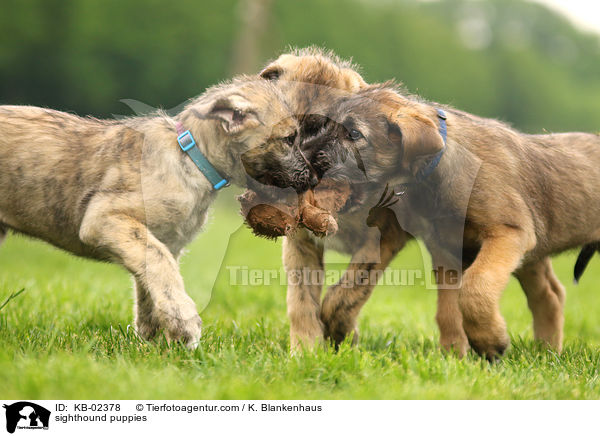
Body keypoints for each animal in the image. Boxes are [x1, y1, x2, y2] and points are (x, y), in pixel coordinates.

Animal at [0, 76, 310, 348]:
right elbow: (162, 266)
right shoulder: (103, 218)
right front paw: (184, 325)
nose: (312, 176)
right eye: (289, 138)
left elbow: (150, 281)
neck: (192, 158)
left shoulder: (162, 241)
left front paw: (153, 340)